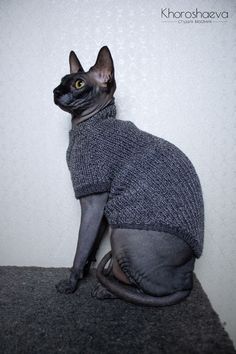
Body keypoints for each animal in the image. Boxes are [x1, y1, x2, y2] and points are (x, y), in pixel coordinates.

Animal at [53, 46, 203, 306]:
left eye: (79, 84)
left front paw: (71, 282)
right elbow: (92, 245)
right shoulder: (103, 206)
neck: (88, 124)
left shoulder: (94, 200)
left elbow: (81, 246)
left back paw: (106, 290)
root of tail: (188, 278)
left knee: (151, 288)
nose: (55, 91)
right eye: (62, 81)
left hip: (123, 233)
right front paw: (86, 272)